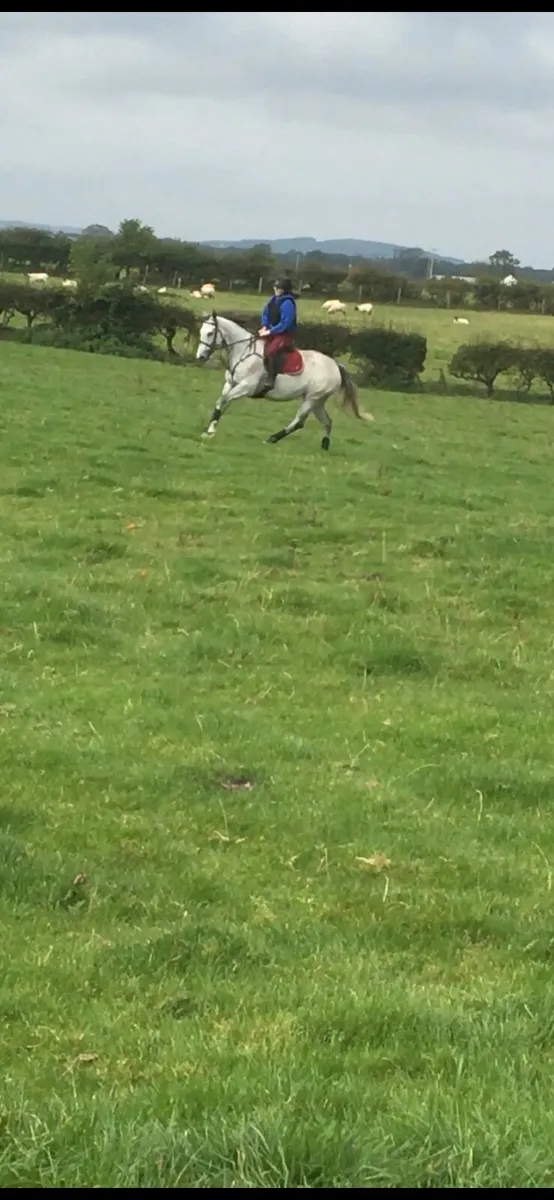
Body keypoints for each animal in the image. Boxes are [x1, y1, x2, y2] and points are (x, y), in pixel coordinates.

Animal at [195, 313, 374, 450]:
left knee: (299, 421)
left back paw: (272, 438)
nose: (200, 357)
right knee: (327, 422)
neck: (243, 352)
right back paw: (324, 446)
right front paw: (210, 430)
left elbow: (223, 401)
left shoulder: (246, 387)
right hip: (317, 400)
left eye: (210, 333)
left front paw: (210, 431)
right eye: (201, 332)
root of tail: (336, 366)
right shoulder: (230, 385)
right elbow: (221, 404)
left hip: (312, 398)